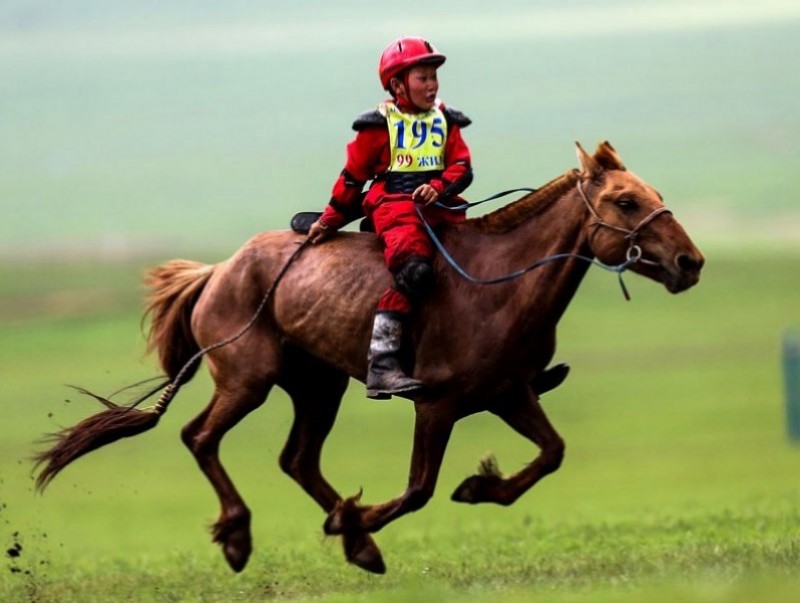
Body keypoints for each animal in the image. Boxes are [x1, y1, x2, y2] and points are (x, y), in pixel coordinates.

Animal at [34, 142, 704, 576]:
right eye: (624, 202)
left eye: (655, 195)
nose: (690, 263)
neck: (499, 283)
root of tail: (218, 269)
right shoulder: (437, 405)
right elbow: (419, 490)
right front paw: (364, 521)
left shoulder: (509, 393)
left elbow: (551, 454)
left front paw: (472, 489)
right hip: (249, 381)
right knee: (200, 437)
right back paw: (243, 536)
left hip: (318, 387)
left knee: (297, 459)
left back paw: (350, 539)